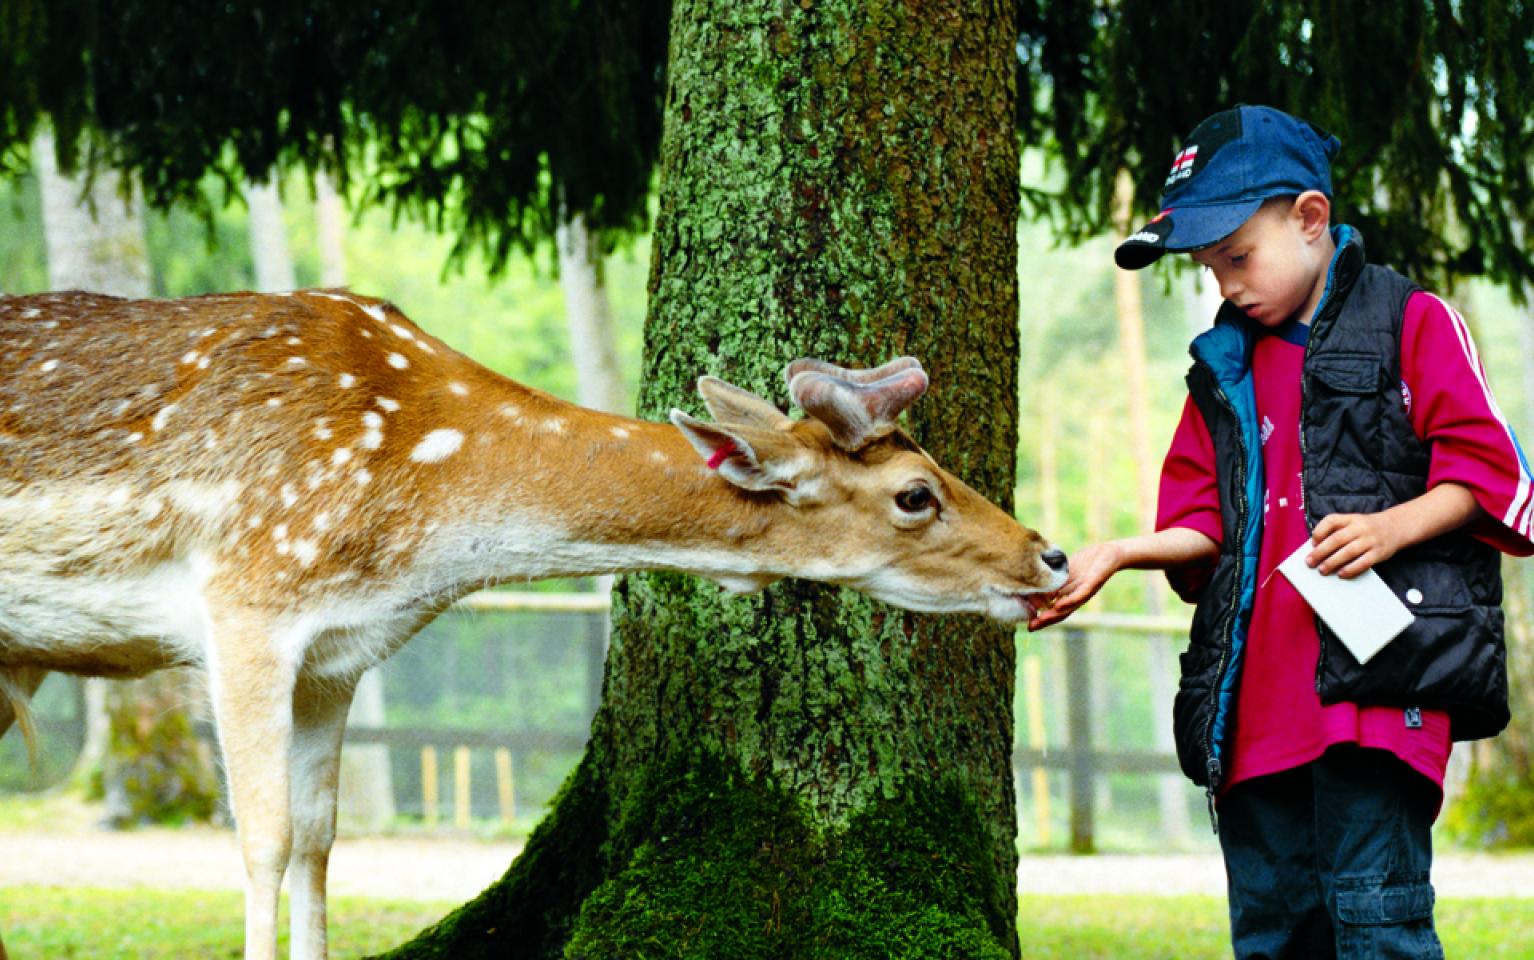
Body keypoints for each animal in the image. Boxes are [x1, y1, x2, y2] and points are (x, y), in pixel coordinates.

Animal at [0, 289, 1068, 960]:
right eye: (917, 493)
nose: (1051, 556)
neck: (420, 527)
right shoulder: (249, 597)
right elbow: (262, 837)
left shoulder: (338, 658)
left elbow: (319, 840)